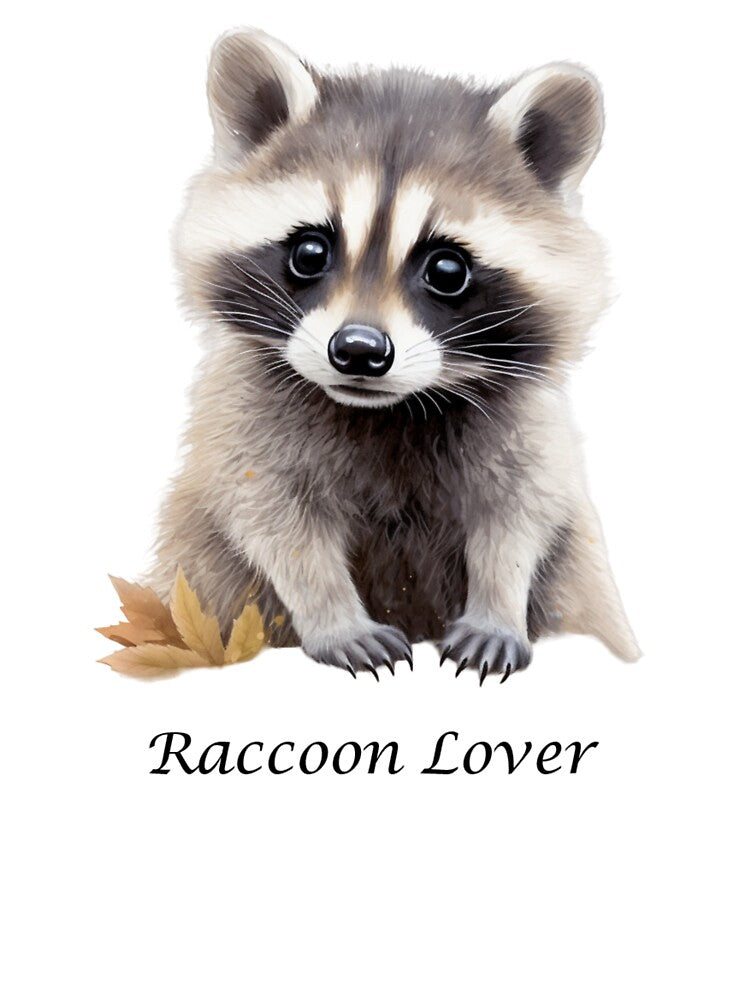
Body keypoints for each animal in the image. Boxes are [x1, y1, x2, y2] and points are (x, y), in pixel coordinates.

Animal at [146, 28, 640, 681]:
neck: (388, 411)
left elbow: (520, 516)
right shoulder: (245, 419)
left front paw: (499, 605)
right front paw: (335, 617)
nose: (358, 351)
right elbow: (272, 517)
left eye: (447, 269)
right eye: (310, 251)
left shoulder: (528, 427)